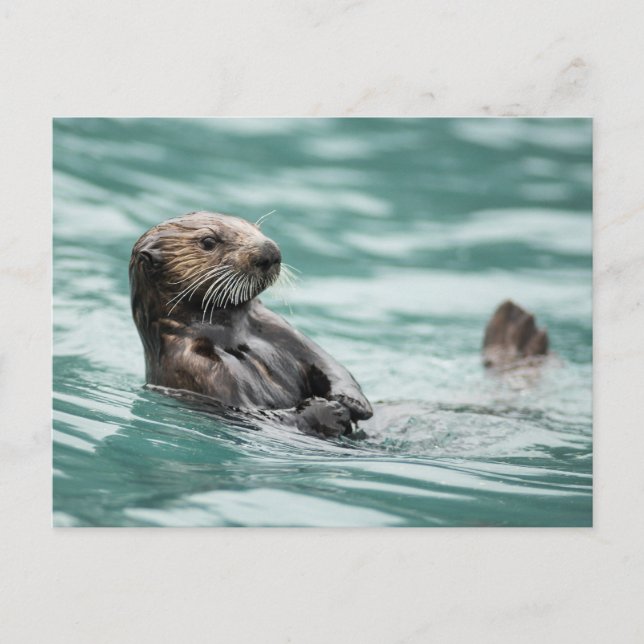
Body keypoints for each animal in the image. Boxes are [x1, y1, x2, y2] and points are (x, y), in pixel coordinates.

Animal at [129, 211, 548, 439]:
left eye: (253, 226)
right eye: (208, 241)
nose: (270, 251)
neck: (233, 336)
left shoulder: (276, 327)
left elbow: (329, 363)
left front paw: (351, 401)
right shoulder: (196, 368)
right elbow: (258, 414)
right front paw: (328, 412)